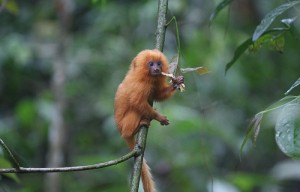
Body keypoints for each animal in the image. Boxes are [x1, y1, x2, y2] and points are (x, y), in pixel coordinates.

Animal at [114, 49, 183, 192]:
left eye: (158, 63)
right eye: (151, 64)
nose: (156, 68)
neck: (146, 77)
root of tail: (119, 129)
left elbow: (158, 95)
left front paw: (176, 82)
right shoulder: (141, 86)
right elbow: (137, 102)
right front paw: (158, 117)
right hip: (124, 125)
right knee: (135, 111)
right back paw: (136, 127)